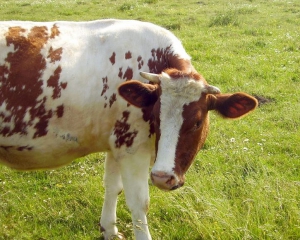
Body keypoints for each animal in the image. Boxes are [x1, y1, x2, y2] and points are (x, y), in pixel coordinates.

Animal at [0, 19, 258, 239]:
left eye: (196, 122)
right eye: (155, 117)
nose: (162, 177)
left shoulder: (117, 144)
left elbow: (112, 187)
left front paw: (109, 229)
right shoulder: (132, 147)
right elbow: (139, 202)